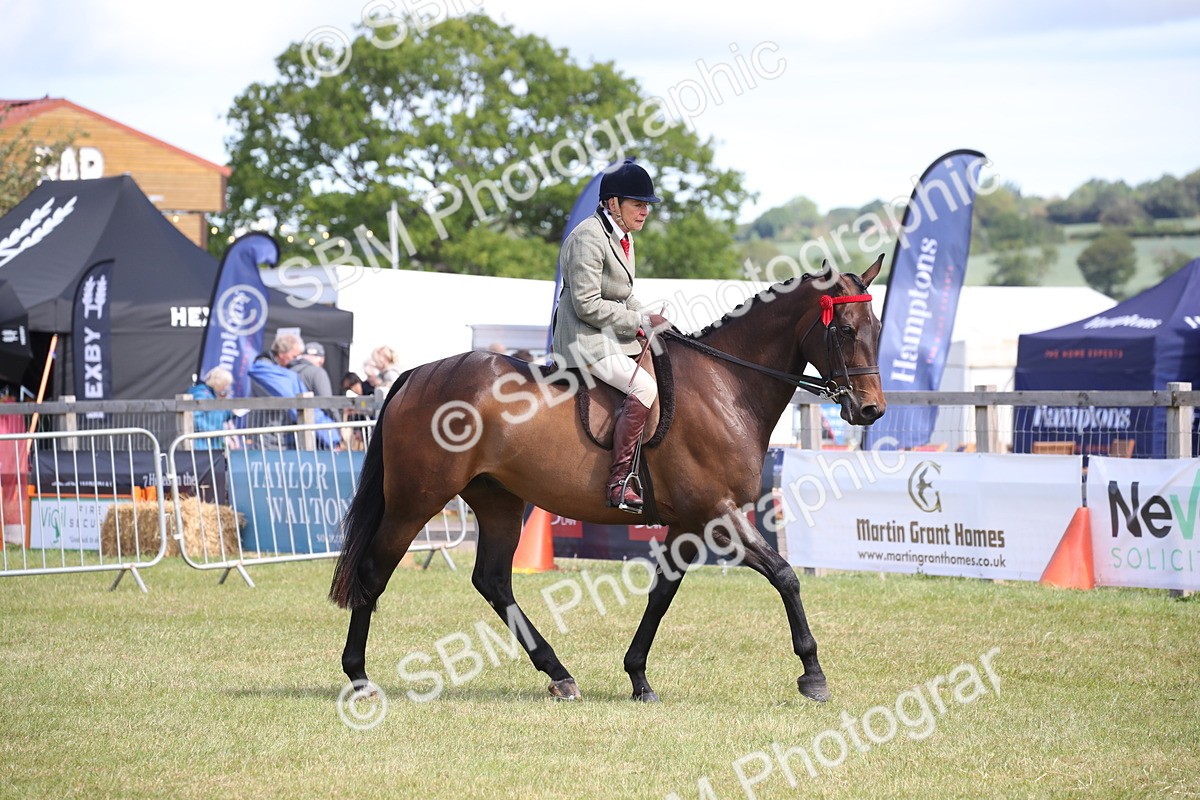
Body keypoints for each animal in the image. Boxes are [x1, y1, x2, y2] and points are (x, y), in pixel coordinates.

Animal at [330, 256, 886, 703]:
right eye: (844, 330)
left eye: (876, 328)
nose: (871, 410)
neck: (726, 384)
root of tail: (417, 374)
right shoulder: (718, 515)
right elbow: (785, 575)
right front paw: (813, 675)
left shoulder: (689, 523)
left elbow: (662, 594)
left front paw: (638, 677)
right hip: (415, 499)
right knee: (375, 572)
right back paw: (359, 677)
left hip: (498, 500)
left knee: (492, 580)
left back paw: (558, 674)